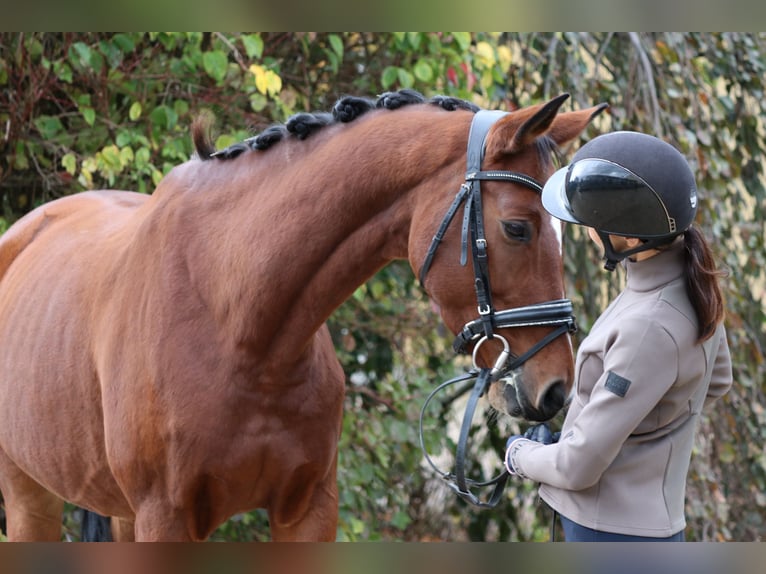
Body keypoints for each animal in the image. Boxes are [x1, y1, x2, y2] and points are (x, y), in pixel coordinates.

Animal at [0, 89, 605, 541]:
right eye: (517, 228)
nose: (556, 389)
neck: (241, 330)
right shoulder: (164, 519)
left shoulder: (309, 510)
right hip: (30, 498)